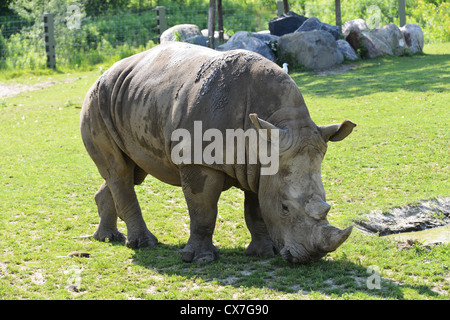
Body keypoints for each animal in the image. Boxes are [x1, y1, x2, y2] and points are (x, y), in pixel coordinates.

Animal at [80, 41, 356, 264]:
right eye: (285, 207)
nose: (309, 258)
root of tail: (104, 73)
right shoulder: (198, 160)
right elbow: (203, 210)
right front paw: (200, 259)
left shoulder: (260, 163)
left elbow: (256, 208)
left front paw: (264, 253)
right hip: (96, 101)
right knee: (119, 172)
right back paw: (145, 244)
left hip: (128, 99)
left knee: (131, 172)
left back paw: (108, 238)